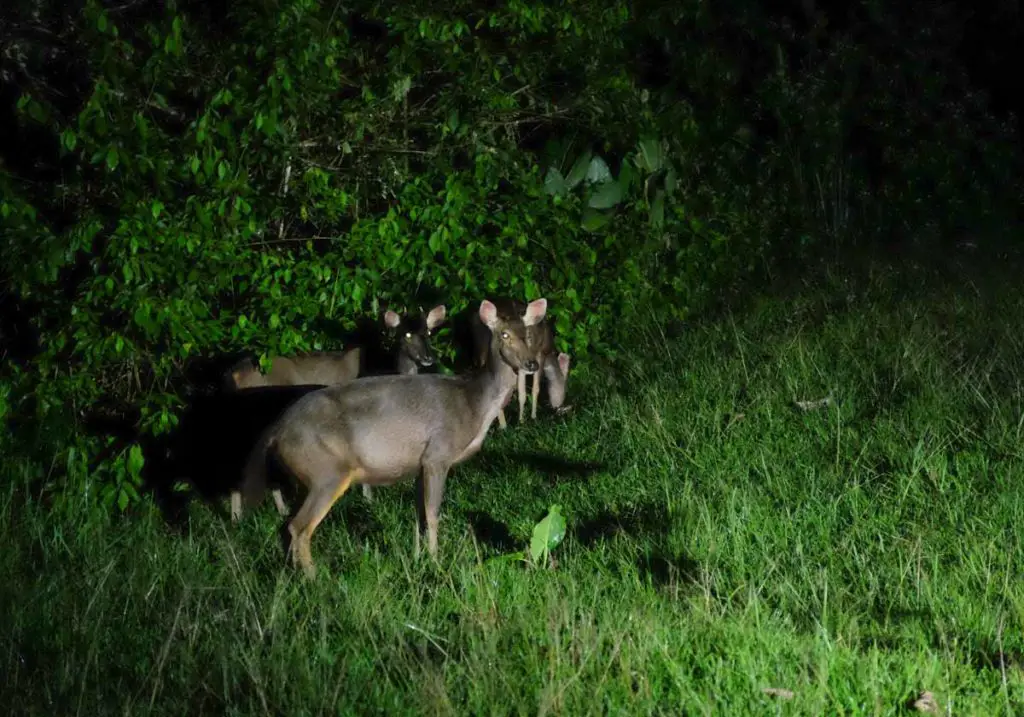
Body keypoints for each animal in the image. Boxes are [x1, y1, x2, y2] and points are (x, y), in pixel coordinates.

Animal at [468, 294, 573, 426]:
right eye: (565, 386)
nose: (562, 407)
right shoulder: (539, 355)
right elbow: (531, 390)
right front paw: (527, 419)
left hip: (481, 354)